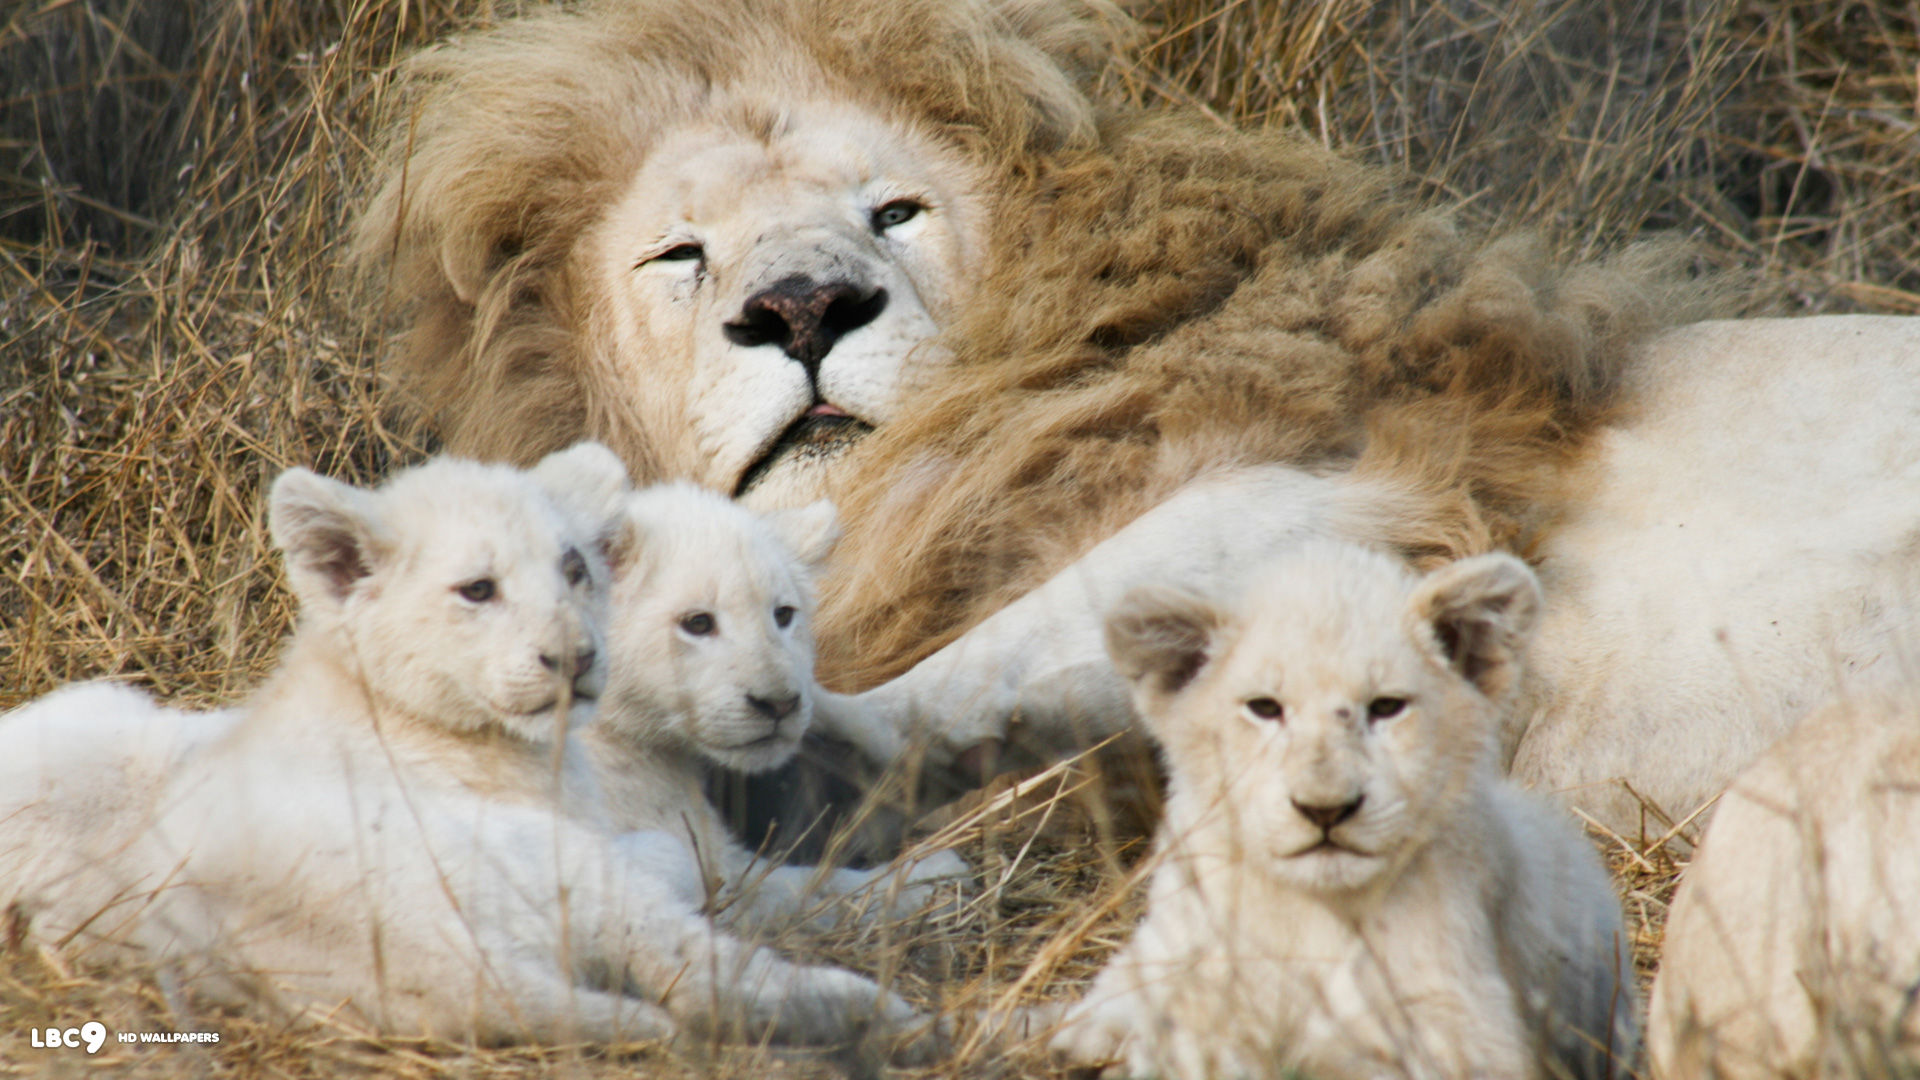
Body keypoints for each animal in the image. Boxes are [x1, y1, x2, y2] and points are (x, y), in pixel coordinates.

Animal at [0, 448, 932, 1054]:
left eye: (785, 614)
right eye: (696, 622)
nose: (780, 704)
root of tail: (443, 968)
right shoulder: (630, 833)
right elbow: (767, 882)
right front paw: (927, 876)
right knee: (700, 968)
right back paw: (893, 1018)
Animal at [1027, 542, 1635, 1080]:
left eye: (1386, 707)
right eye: (1265, 708)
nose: (1324, 810)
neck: (1313, 912)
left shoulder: (1461, 1017)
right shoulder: (1177, 949)